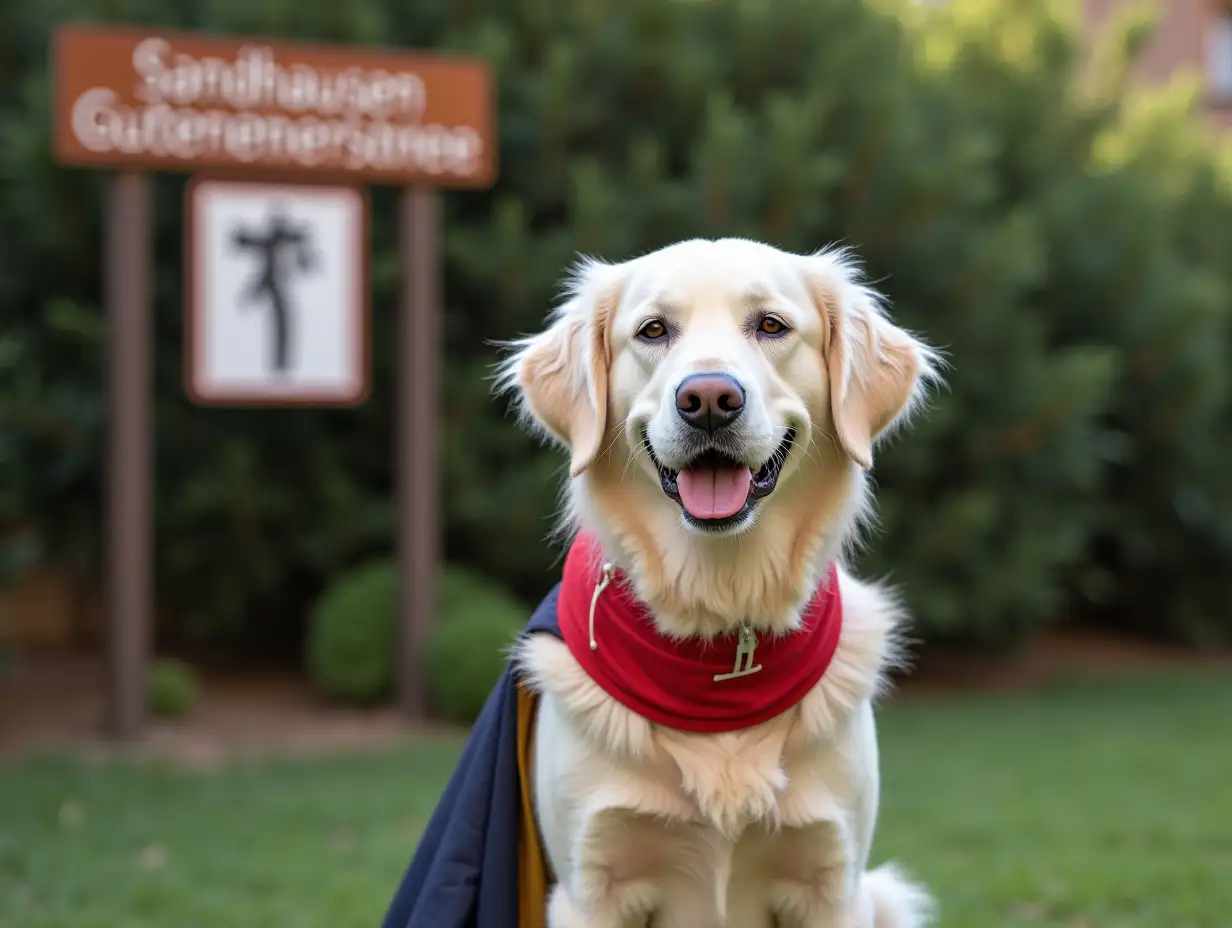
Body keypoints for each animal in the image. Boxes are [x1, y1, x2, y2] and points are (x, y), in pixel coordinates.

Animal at [500, 239, 941, 926]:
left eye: (771, 326)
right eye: (653, 331)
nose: (708, 399)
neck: (718, 617)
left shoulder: (833, 882)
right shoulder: (590, 888)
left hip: (881, 895)